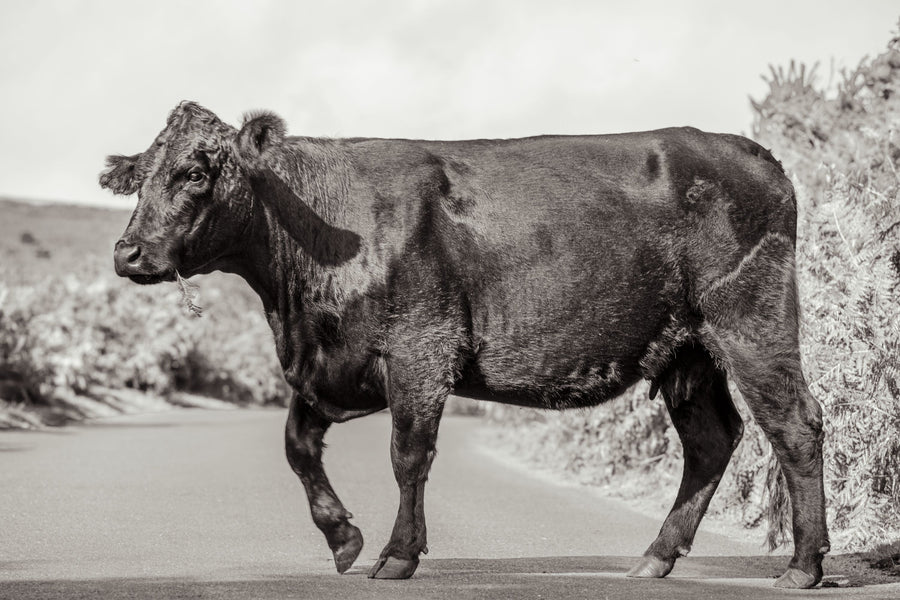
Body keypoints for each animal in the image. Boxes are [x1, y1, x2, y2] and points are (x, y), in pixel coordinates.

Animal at [100, 101, 829, 588]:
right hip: (688, 350)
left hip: (750, 320)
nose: (127, 252)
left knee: (795, 425)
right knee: (711, 440)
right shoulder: (334, 366)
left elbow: (407, 455)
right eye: (143, 175)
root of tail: (753, 154)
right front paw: (342, 536)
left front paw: (396, 554)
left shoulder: (420, 351)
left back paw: (804, 564)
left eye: (197, 173)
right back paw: (656, 556)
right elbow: (297, 445)